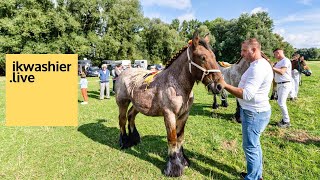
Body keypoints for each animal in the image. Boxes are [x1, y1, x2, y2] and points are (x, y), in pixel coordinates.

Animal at [115, 31, 225, 177]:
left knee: (131, 116)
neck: (177, 85)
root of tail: (123, 73)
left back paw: (134, 139)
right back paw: (124, 142)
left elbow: (180, 138)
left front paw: (183, 161)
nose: (220, 86)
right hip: (123, 102)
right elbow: (172, 139)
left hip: (137, 105)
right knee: (122, 120)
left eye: (214, 56)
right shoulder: (169, 115)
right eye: (203, 57)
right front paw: (174, 168)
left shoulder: (184, 115)